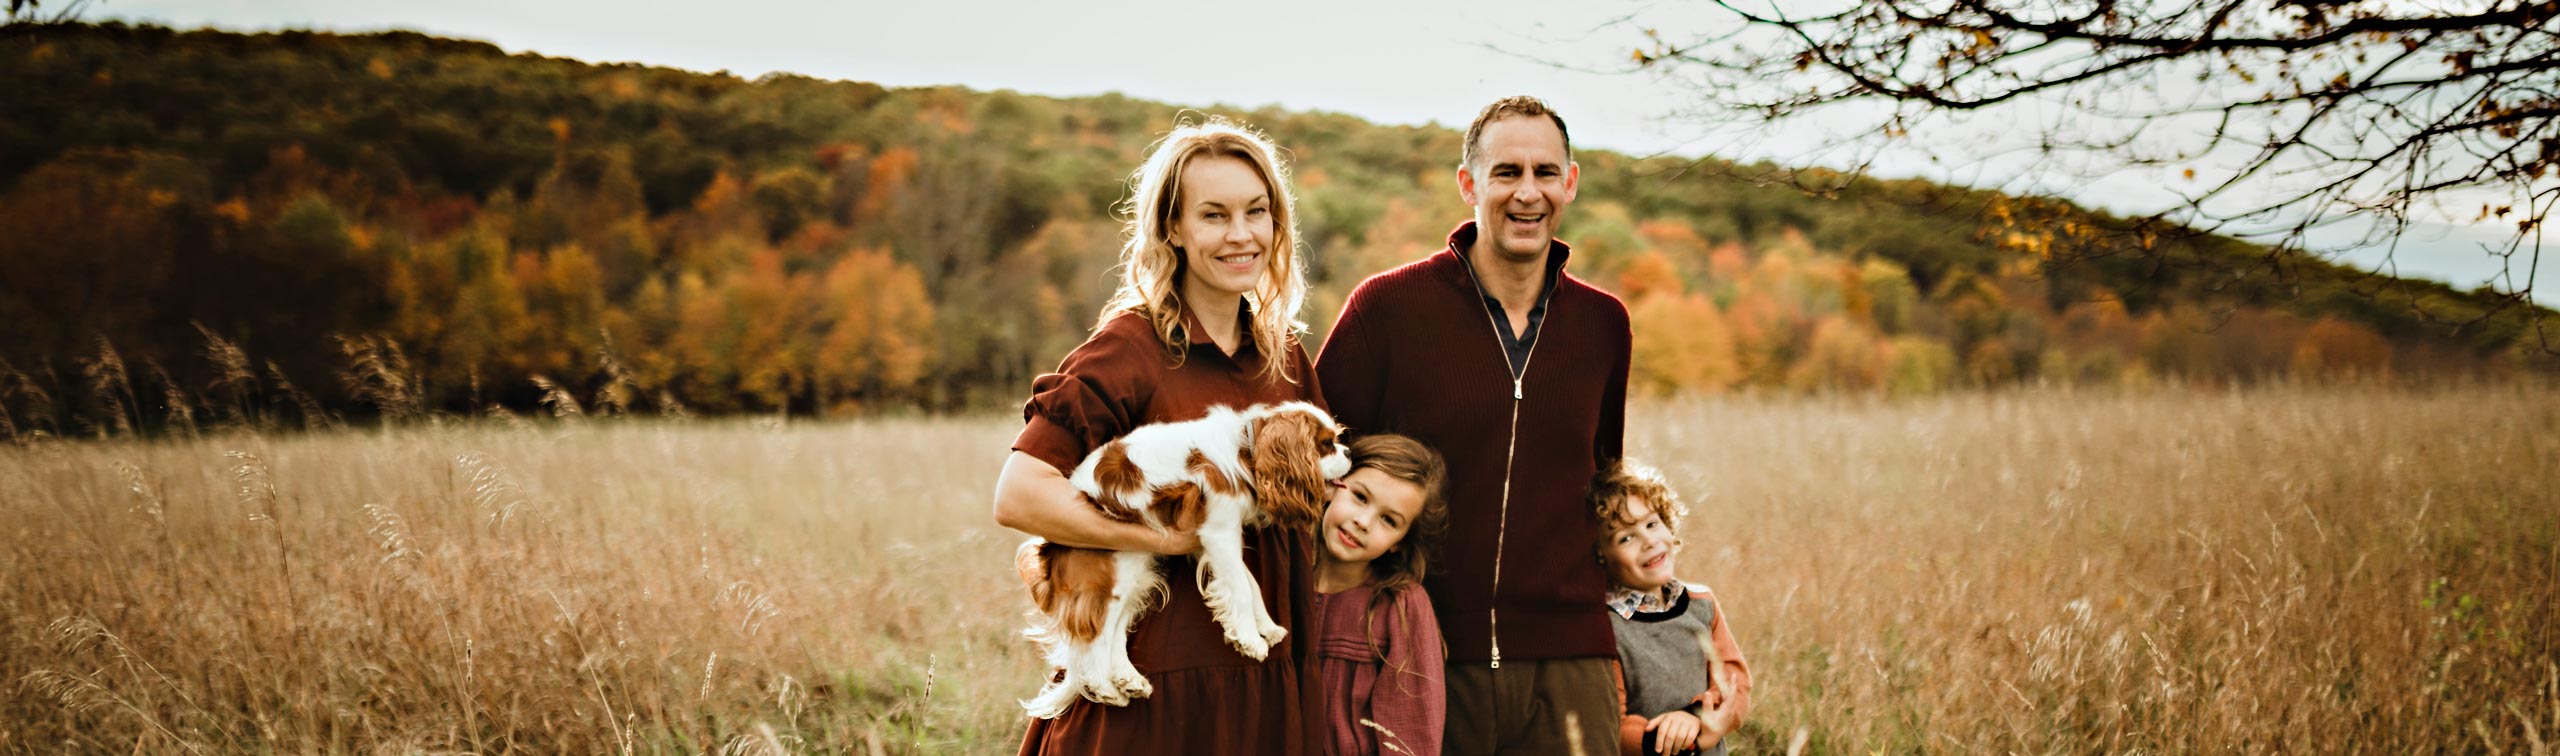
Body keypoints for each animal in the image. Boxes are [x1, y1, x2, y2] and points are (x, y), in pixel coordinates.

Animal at [1013, 399, 1361, 717]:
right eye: (1326, 445)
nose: (1349, 454)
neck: (1246, 448)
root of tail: (1050, 549)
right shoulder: (1219, 532)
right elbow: (1240, 587)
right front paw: (1251, 639)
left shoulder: (1213, 539)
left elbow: (1248, 582)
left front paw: (1267, 626)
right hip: (1111, 575)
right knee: (1096, 633)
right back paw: (1103, 686)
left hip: (1137, 569)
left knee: (1115, 630)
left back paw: (1128, 679)